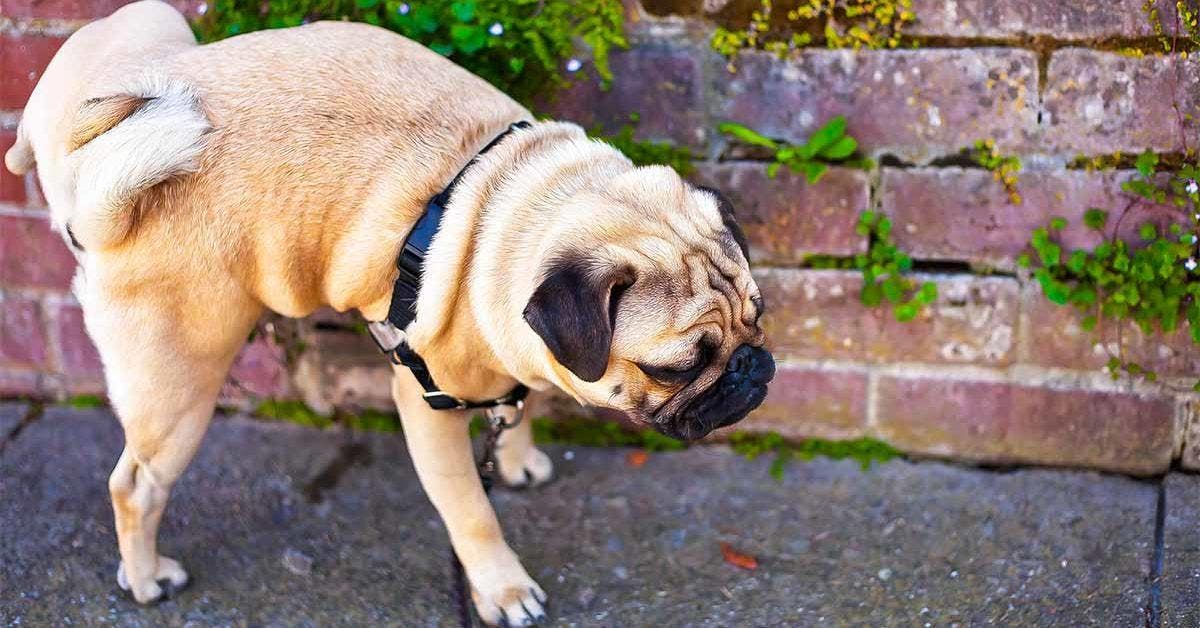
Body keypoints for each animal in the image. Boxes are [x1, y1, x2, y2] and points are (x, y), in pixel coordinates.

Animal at [4, 3, 772, 624]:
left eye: (757, 318)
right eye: (675, 368)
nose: (752, 370)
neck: (511, 206)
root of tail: (91, 183)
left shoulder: (520, 355)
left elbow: (519, 404)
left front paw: (518, 457)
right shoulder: (429, 401)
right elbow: (471, 514)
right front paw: (502, 590)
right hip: (180, 384)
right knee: (134, 484)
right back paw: (145, 579)